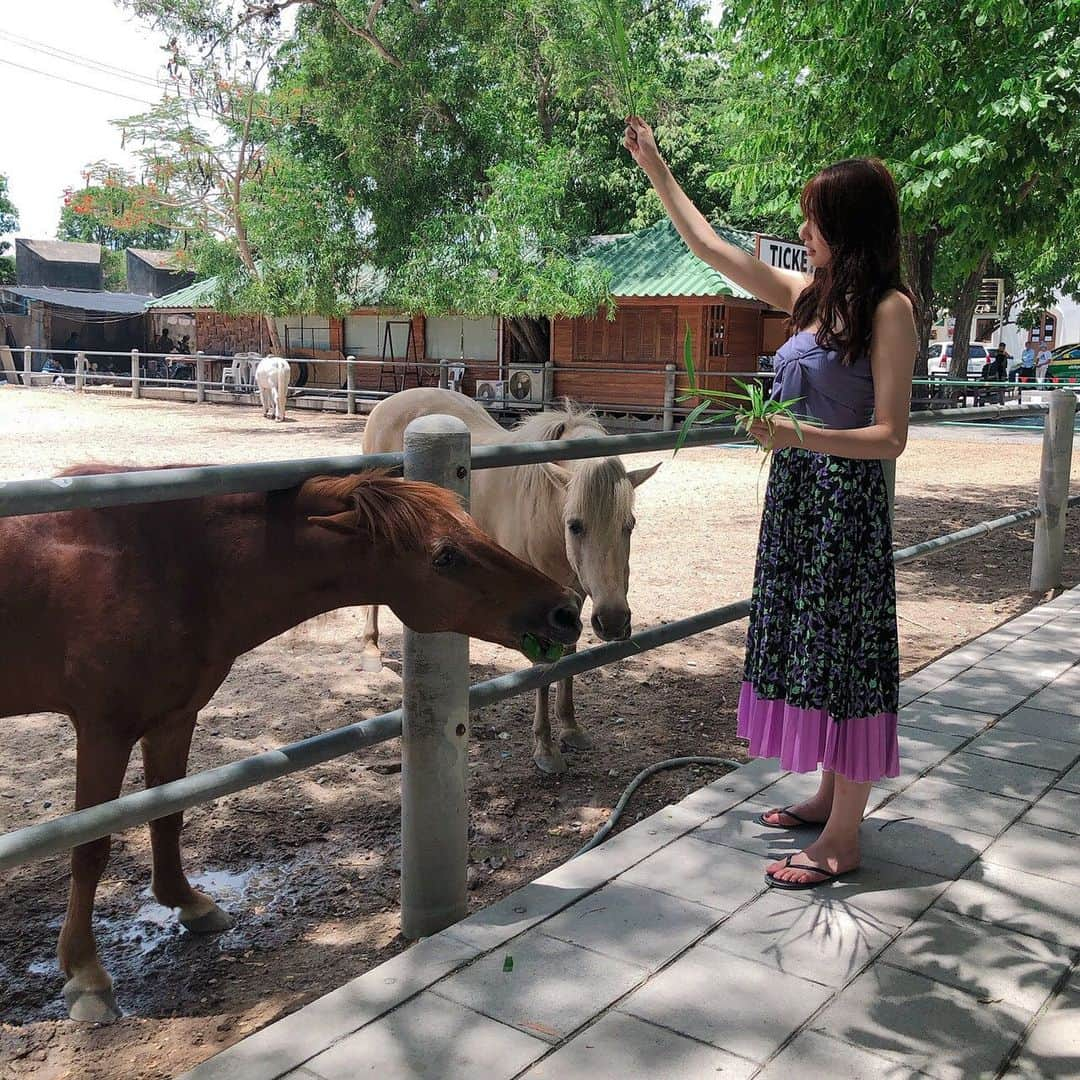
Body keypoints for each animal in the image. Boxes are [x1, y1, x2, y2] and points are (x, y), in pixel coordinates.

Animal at [2, 464, 583, 1019]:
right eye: (445, 556)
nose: (566, 610)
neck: (166, 564)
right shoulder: (104, 728)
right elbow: (91, 845)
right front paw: (85, 972)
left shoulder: (173, 718)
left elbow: (166, 816)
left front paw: (188, 903)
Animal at [358, 388, 656, 777]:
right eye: (575, 525)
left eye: (629, 524)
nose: (614, 621)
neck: (544, 507)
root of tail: (387, 403)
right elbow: (544, 669)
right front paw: (545, 748)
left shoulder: (572, 597)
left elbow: (570, 659)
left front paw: (571, 727)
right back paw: (370, 651)